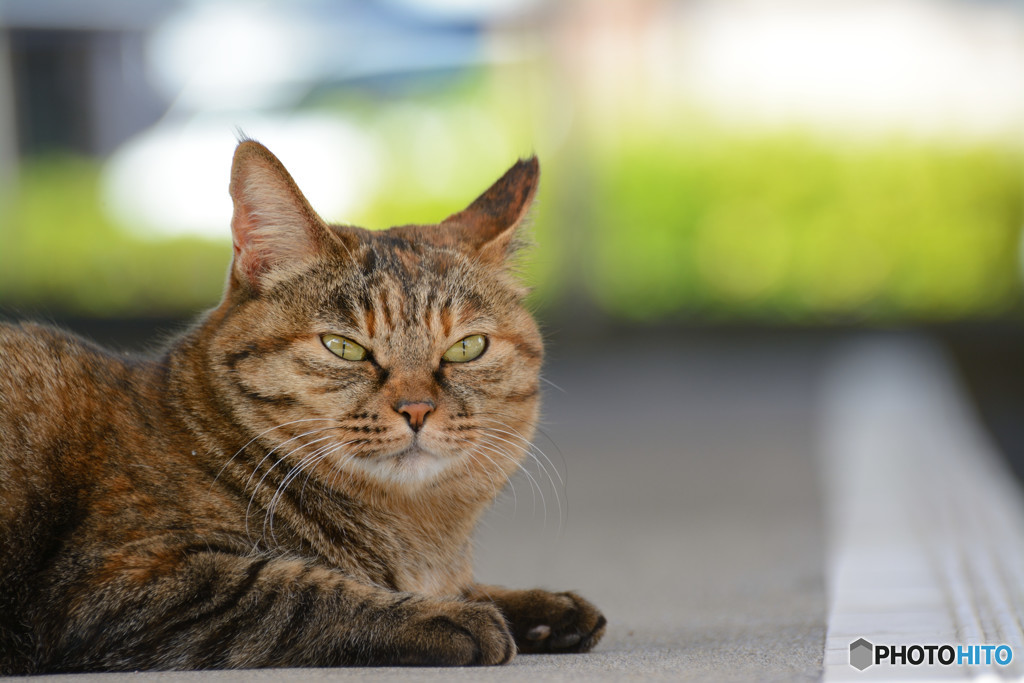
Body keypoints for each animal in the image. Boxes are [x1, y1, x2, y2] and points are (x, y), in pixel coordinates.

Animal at [0, 140, 602, 671]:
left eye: (466, 348)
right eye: (344, 347)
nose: (417, 409)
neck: (418, 535)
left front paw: (539, 605)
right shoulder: (125, 578)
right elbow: (300, 590)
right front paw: (452, 616)